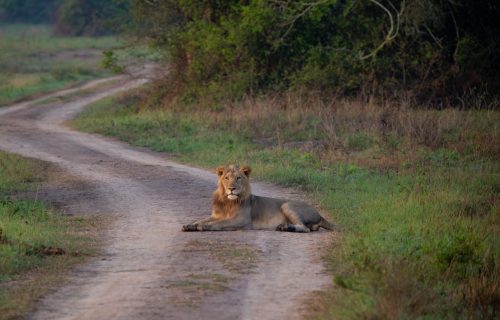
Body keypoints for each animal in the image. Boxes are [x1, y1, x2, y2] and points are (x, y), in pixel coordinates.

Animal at [182, 165, 338, 232]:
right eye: (226, 178)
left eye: (238, 178)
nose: (231, 188)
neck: (228, 201)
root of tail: (319, 214)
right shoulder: (216, 215)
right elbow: (202, 219)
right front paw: (190, 225)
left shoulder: (242, 220)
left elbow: (219, 223)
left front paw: (204, 227)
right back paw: (284, 227)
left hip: (287, 205)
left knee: (305, 228)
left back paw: (286, 227)